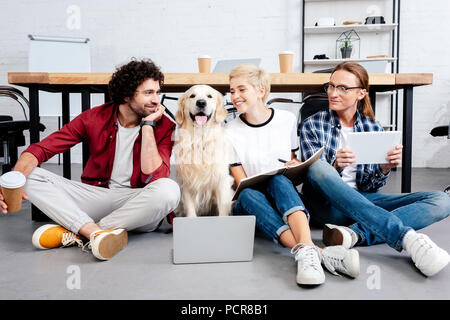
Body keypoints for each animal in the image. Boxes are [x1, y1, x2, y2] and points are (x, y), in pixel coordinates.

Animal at [173, 84, 234, 218]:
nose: (201, 103)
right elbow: (190, 210)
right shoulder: (186, 183)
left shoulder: (221, 182)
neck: (200, 139)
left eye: (209, 96)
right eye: (192, 96)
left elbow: (223, 209)